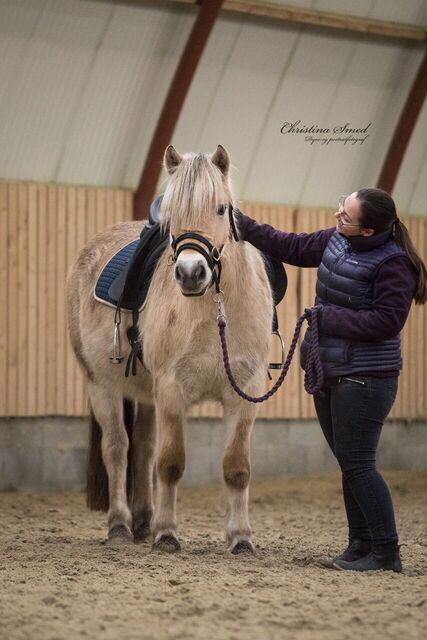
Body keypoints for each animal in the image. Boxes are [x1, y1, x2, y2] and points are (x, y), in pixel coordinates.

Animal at [67, 142, 274, 552]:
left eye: (221, 208)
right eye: (172, 214)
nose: (191, 273)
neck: (215, 312)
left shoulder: (245, 391)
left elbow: (236, 468)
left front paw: (240, 537)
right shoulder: (172, 389)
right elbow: (171, 463)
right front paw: (166, 533)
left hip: (147, 396)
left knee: (143, 449)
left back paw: (142, 521)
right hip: (102, 385)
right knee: (118, 449)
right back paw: (120, 525)